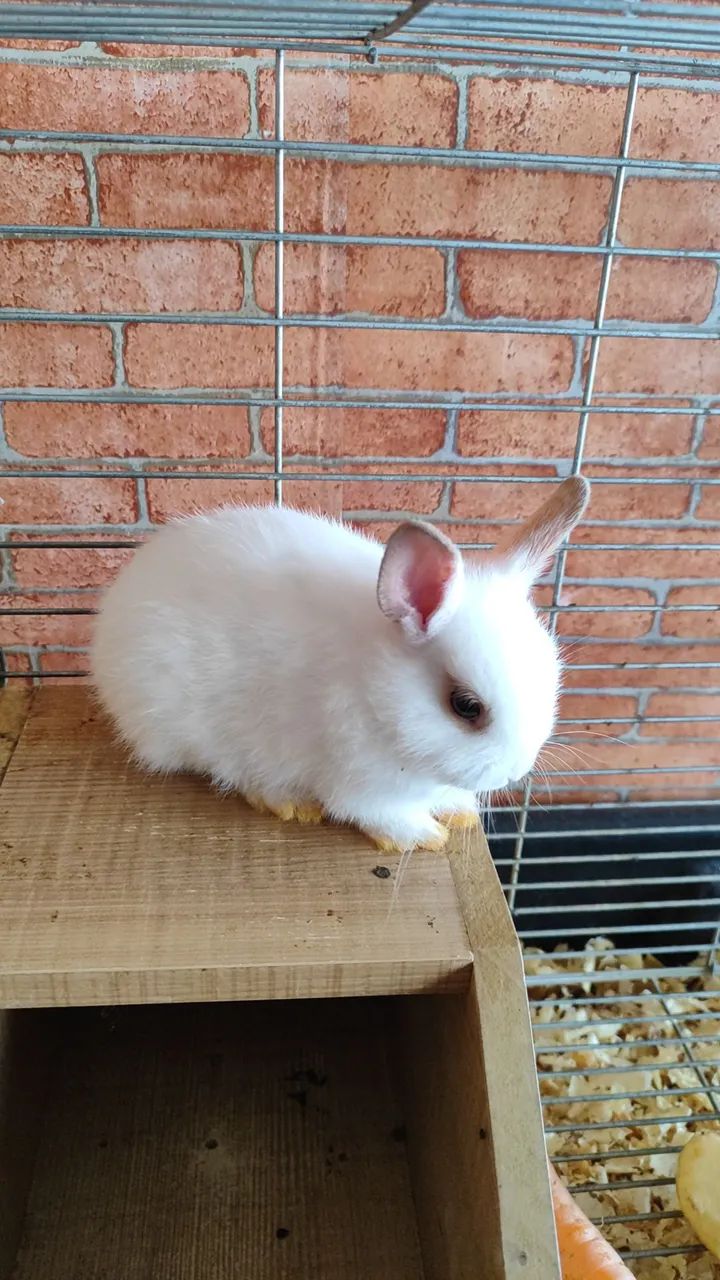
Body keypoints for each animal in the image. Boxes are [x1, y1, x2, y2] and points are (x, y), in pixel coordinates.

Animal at [91, 475, 589, 853]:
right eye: (466, 706)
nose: (516, 771)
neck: (373, 690)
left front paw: (459, 810)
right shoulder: (362, 784)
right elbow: (375, 814)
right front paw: (423, 836)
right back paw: (289, 802)